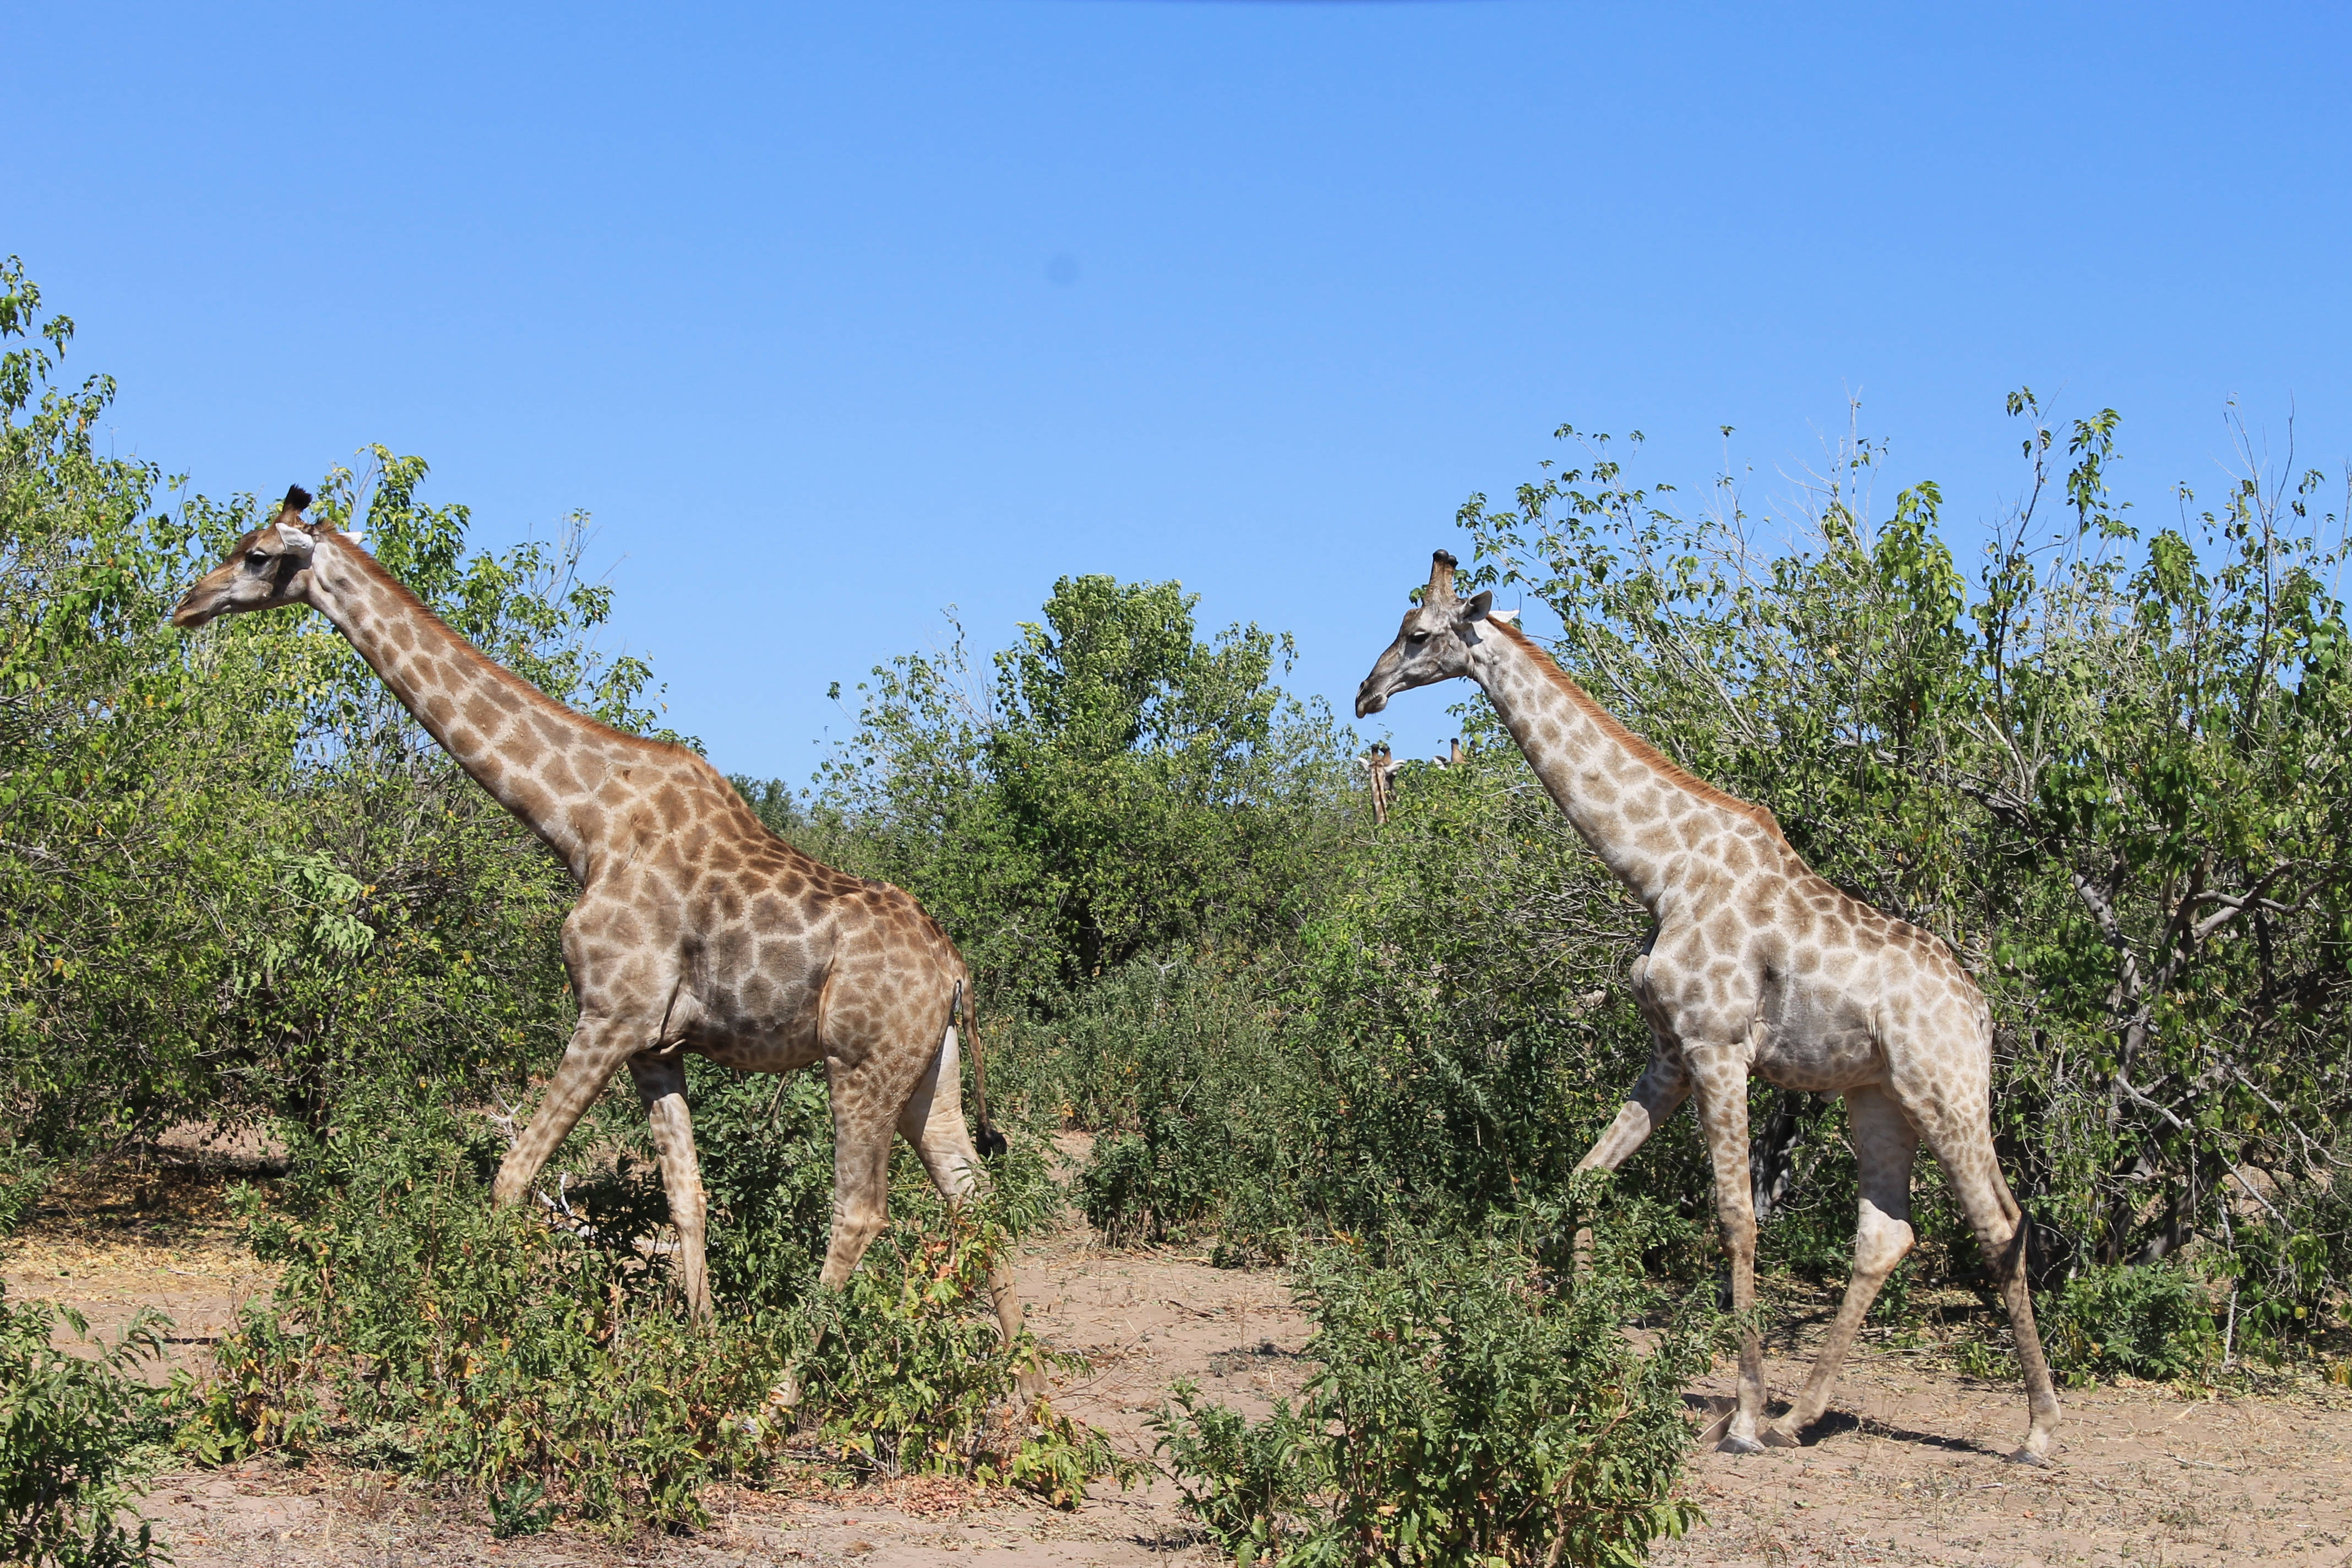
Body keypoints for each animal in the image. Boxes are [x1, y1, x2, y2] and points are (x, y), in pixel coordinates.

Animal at [172, 486, 1042, 1394]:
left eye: (258, 555)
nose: (187, 605)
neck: (581, 821)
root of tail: (955, 970)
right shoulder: (655, 1045)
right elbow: (687, 1194)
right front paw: (698, 1354)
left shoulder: (609, 1014)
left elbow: (512, 1175)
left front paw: (470, 1351)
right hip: (927, 1072)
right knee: (974, 1196)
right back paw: (1027, 1395)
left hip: (859, 1064)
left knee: (861, 1212)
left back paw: (776, 1394)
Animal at [1354, 551, 2060, 1464]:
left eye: (1417, 635)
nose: (1366, 693)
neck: (1660, 868)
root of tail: (1979, 1010)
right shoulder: (1670, 1052)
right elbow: (1584, 1179)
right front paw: (1574, 1343)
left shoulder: (1720, 1048)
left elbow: (1736, 1218)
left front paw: (1745, 1416)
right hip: (1879, 1098)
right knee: (1887, 1233)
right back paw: (1805, 1417)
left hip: (1947, 1091)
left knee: (2000, 1224)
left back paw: (2037, 1428)